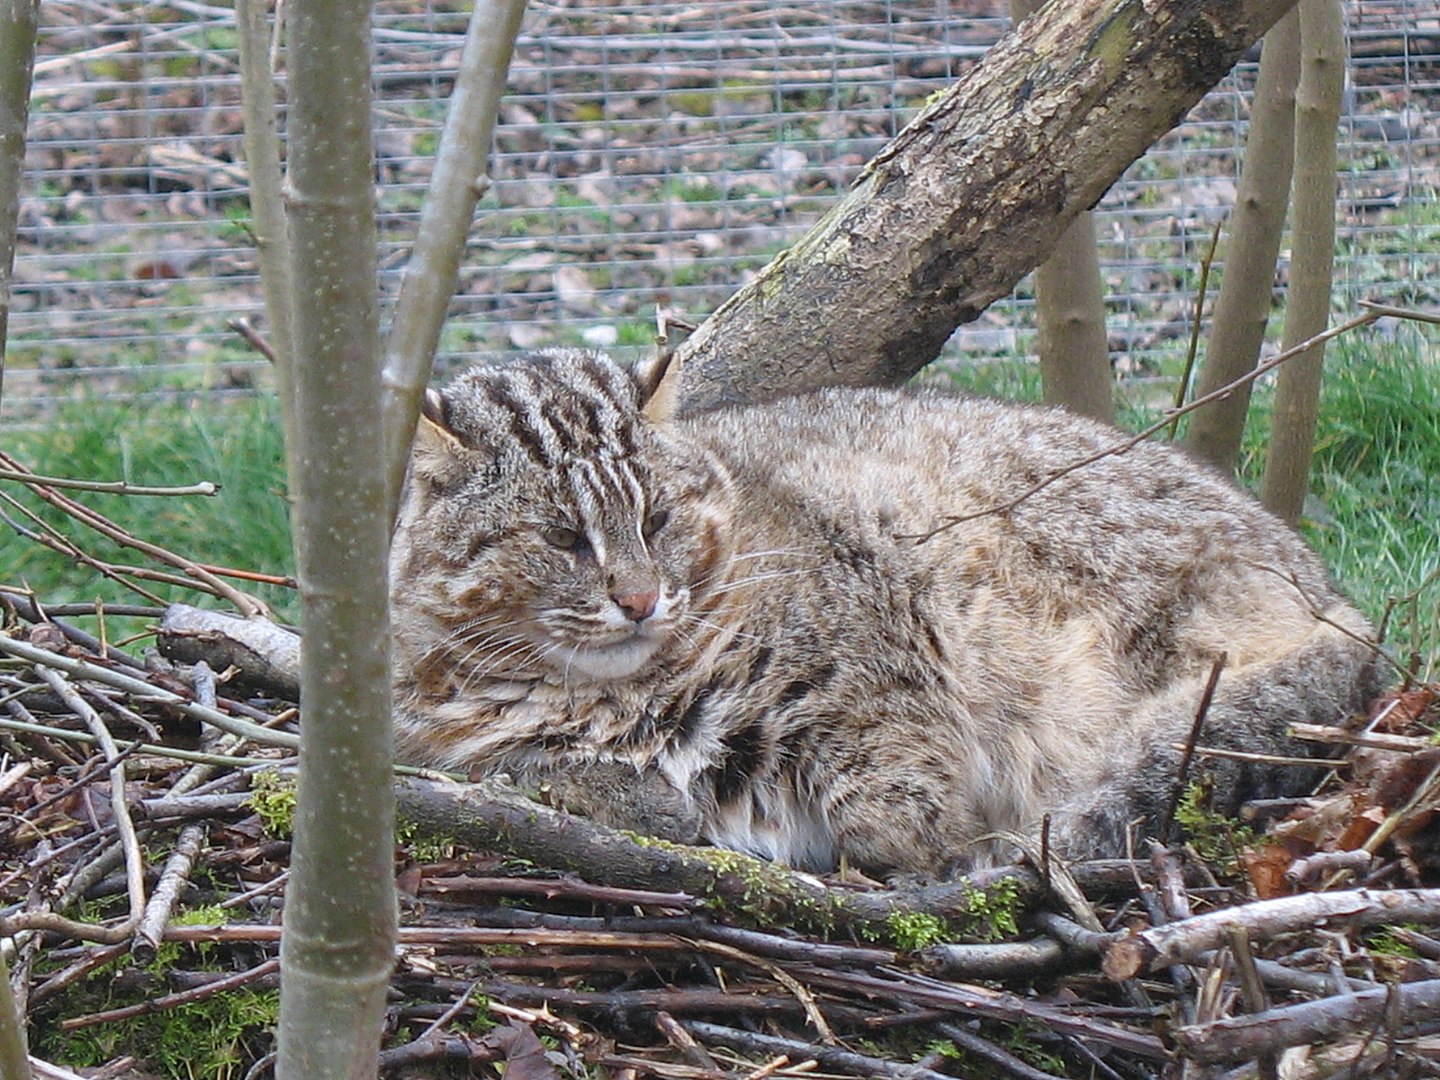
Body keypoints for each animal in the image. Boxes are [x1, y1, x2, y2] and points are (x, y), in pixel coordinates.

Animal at [388, 351, 1388, 875]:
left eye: (658, 518)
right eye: (563, 537)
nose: (638, 599)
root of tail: (1335, 593)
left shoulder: (877, 659)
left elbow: (895, 782)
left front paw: (914, 854)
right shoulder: (444, 744)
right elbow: (534, 770)